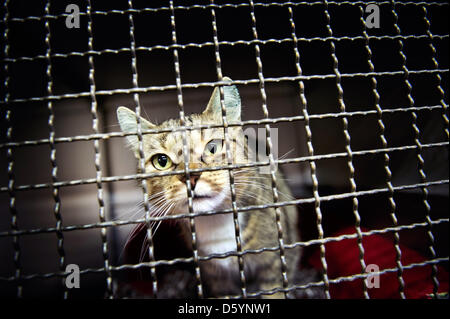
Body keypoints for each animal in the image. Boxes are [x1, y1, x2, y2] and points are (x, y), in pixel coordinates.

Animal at [118, 79, 302, 298]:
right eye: (161, 161)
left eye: (212, 147)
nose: (191, 177)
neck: (216, 223)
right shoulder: (217, 280)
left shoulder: (275, 264)